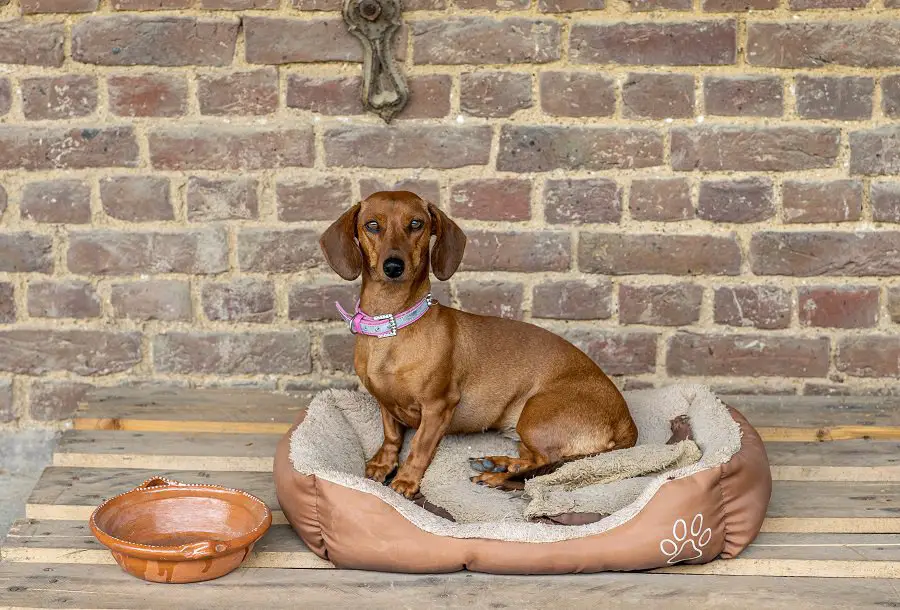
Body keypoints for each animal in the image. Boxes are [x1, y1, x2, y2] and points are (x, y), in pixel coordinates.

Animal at [320, 191, 636, 498]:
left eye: (416, 224)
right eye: (372, 225)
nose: (394, 267)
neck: (392, 324)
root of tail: (627, 423)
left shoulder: (438, 407)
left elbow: (419, 447)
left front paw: (406, 481)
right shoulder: (384, 400)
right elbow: (392, 435)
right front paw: (383, 464)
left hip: (536, 415)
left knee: (546, 467)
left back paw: (497, 477)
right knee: (533, 462)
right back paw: (499, 464)